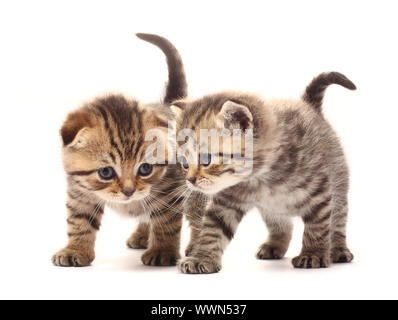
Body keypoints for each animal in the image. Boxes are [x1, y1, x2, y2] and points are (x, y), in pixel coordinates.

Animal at [52, 33, 187, 266]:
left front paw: (163, 250)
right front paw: (75, 249)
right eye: (106, 172)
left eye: (145, 169)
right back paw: (141, 235)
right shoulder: (80, 193)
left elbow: (166, 222)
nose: (128, 192)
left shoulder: (170, 191)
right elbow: (79, 221)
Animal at [173, 72, 356, 272]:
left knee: (337, 221)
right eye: (184, 162)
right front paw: (202, 258)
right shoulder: (226, 202)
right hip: (271, 209)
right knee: (282, 225)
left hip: (339, 185)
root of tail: (309, 107)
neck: (260, 178)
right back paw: (274, 245)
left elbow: (318, 226)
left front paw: (312, 254)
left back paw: (338, 249)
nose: (190, 180)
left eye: (206, 159)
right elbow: (212, 229)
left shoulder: (319, 192)